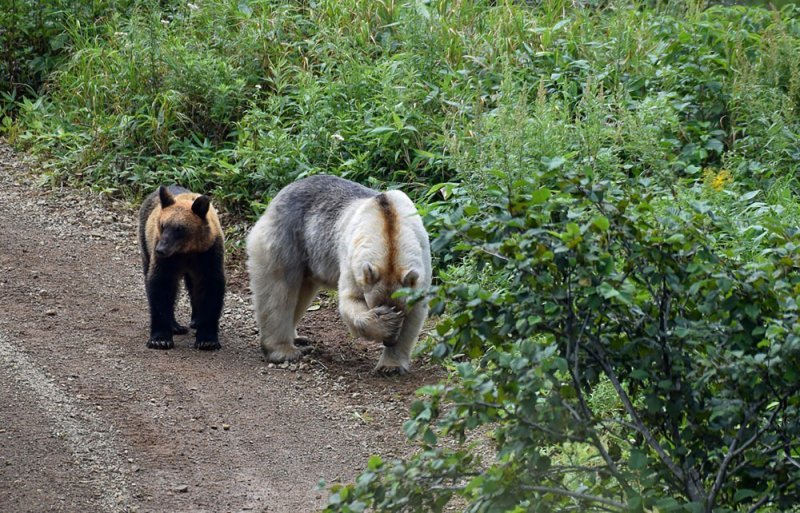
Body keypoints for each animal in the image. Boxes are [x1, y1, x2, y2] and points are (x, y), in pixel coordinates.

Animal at [138, 184, 225, 348]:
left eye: (180, 228)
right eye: (162, 225)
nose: (161, 249)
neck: (187, 251)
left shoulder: (208, 255)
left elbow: (211, 287)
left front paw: (207, 340)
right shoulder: (167, 261)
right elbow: (161, 287)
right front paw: (160, 339)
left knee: (193, 285)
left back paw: (196, 320)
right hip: (145, 245)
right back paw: (176, 326)